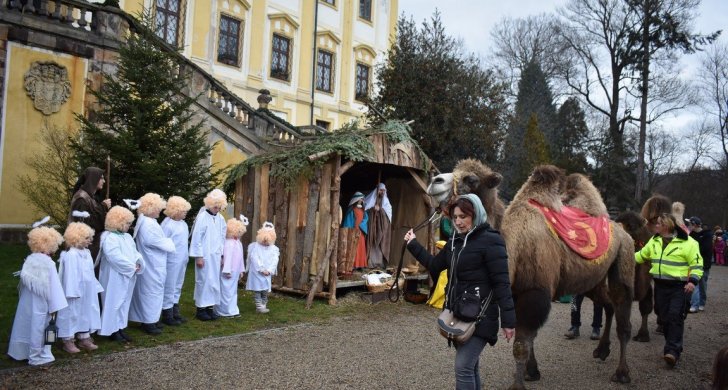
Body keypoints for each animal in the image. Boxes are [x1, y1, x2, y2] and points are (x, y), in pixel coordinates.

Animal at [430, 160, 636, 388]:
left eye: (471, 179)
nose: (435, 181)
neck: (513, 247)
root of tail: (622, 230)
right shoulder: (515, 293)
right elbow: (528, 340)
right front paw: (532, 371)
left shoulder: (535, 291)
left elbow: (521, 344)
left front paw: (518, 385)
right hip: (591, 280)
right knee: (608, 304)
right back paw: (601, 350)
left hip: (624, 257)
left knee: (623, 315)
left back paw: (622, 373)